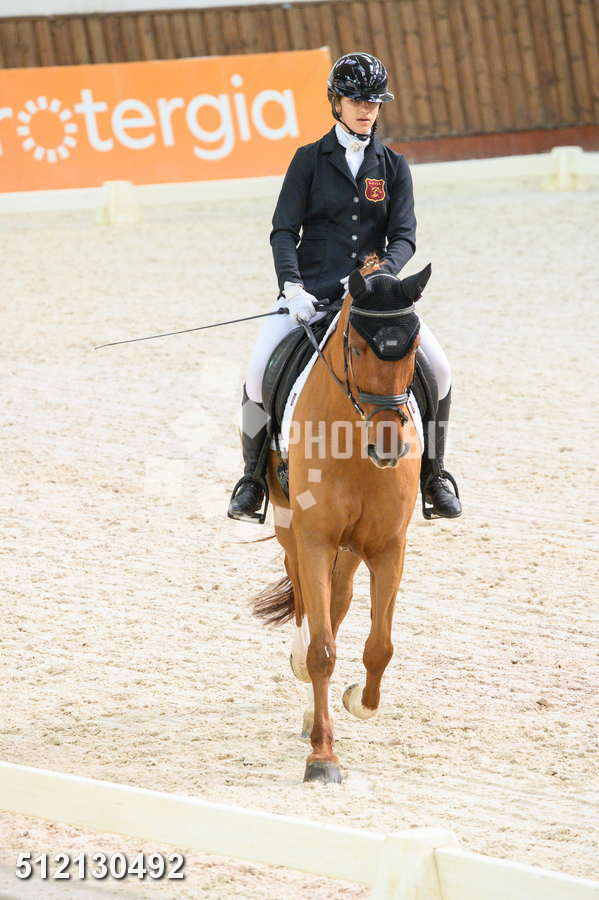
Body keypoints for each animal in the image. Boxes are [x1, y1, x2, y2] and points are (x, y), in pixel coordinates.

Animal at [253, 257, 432, 783]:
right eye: (355, 346)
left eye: (412, 347)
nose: (388, 447)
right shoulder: (314, 538)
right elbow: (322, 651)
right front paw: (322, 757)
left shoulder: (389, 546)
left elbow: (379, 646)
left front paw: (357, 702)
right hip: (292, 528)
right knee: (306, 599)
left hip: (351, 550)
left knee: (340, 598)